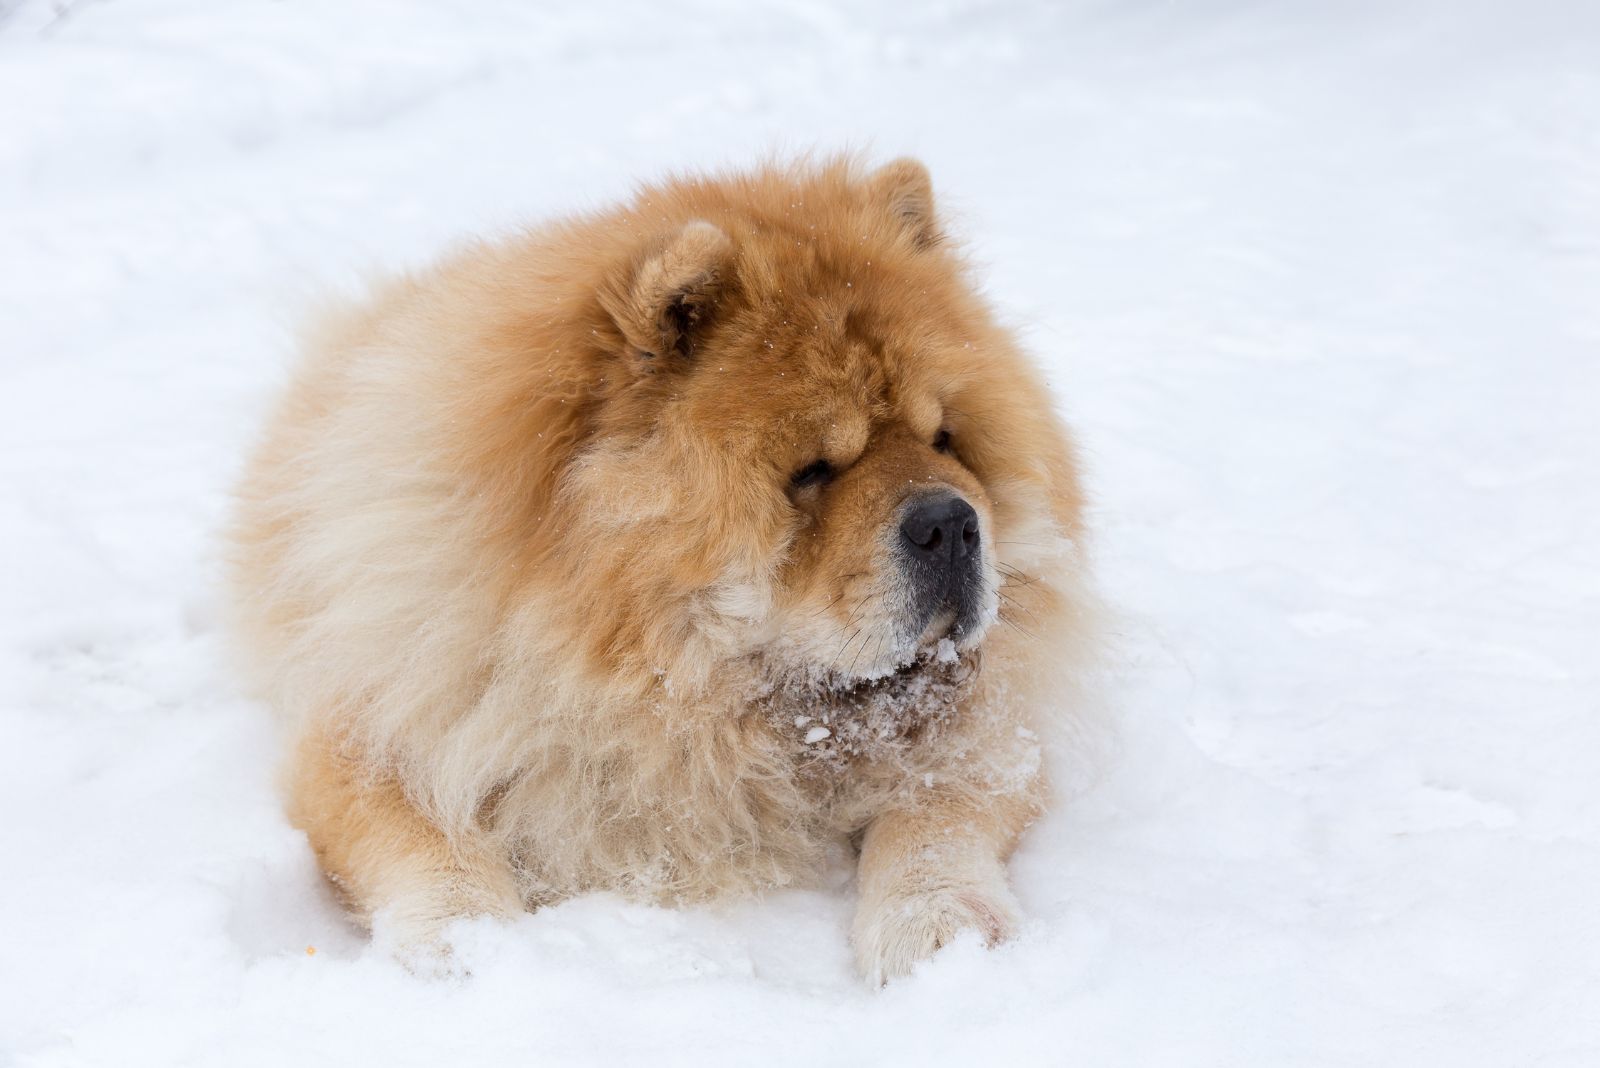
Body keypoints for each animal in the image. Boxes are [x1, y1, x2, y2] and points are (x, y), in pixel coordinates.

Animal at [228, 154, 1100, 978]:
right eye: (813, 471)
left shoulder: (994, 730)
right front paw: (467, 943)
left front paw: (941, 924)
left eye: (945, 440)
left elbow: (937, 809)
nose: (950, 523)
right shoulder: (378, 721)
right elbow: (425, 835)